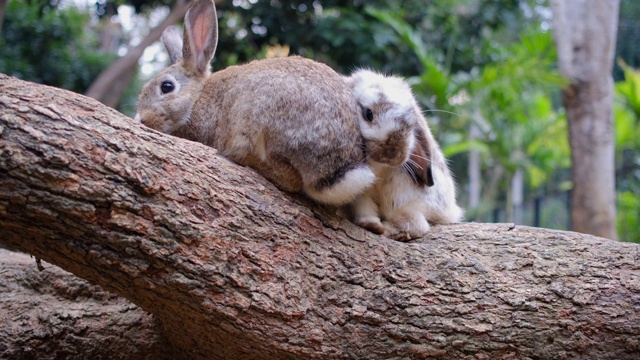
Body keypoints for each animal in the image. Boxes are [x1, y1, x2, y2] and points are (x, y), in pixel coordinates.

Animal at [134, 0, 376, 204]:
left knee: (291, 179)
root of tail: (335, 171)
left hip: (264, 121)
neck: (196, 98)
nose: (142, 119)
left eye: (166, 87)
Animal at [342, 69, 462, 240]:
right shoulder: (361, 190)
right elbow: (364, 206)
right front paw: (370, 224)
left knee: (416, 223)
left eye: (411, 125)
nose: (392, 153)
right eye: (368, 114)